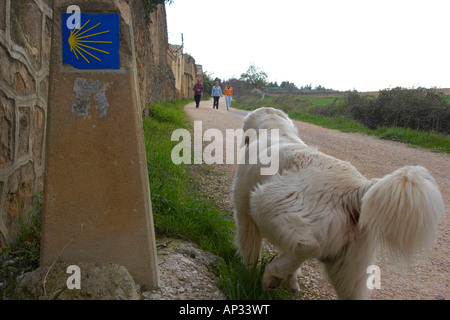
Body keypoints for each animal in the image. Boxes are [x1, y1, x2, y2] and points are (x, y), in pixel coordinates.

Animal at [234, 107, 444, 300]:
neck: (276, 131)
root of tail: (358, 188)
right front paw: (291, 279)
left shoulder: (244, 209)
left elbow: (249, 247)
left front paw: (247, 274)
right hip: (351, 270)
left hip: (264, 201)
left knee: (308, 247)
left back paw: (272, 275)